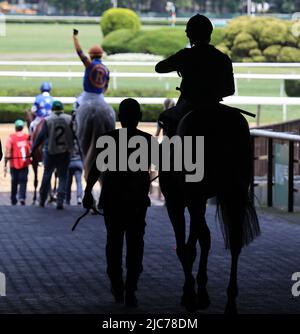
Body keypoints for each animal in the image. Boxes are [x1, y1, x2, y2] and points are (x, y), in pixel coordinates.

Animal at [159, 102, 260, 314]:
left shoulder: (177, 201)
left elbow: (186, 246)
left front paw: (192, 294)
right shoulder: (198, 200)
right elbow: (202, 239)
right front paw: (199, 290)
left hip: (193, 197)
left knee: (194, 243)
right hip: (233, 191)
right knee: (235, 240)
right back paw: (231, 301)